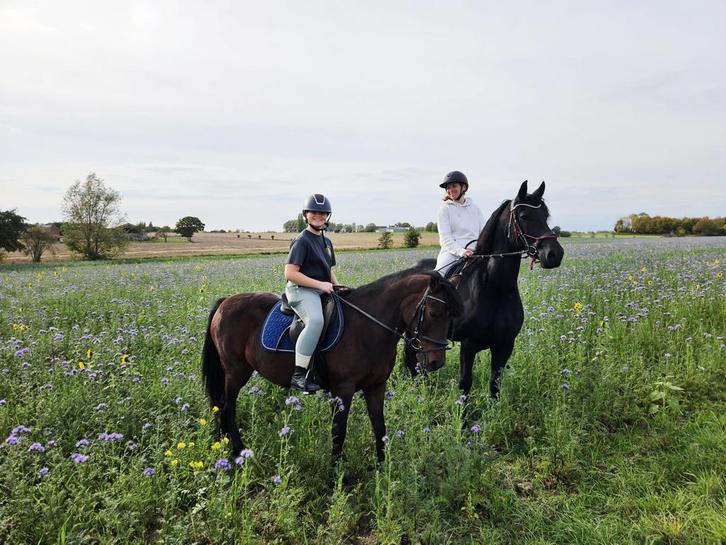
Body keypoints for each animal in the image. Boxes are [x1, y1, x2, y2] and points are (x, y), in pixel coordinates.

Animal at [201, 272, 463, 463]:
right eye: (433, 313)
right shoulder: (342, 389)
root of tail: (225, 302)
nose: (436, 362)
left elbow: (379, 426)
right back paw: (237, 450)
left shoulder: (376, 386)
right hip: (236, 372)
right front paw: (337, 472)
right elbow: (339, 430)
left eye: (452, 315)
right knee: (227, 407)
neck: (367, 327)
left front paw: (382, 465)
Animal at [404, 180, 564, 398]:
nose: (554, 254)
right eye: (524, 216)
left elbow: (495, 385)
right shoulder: (468, 346)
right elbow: (465, 384)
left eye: (546, 215)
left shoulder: (504, 345)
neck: (494, 289)